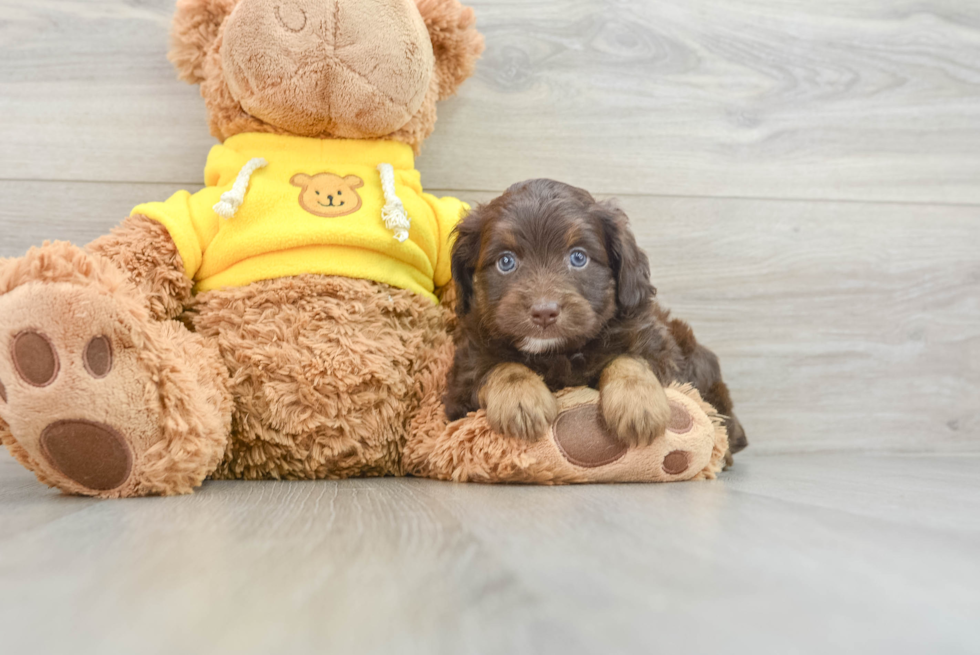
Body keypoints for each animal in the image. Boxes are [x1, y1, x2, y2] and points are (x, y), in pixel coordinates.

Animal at [446, 177, 752, 458]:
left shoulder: (658, 350)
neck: (556, 352)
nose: (544, 312)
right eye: (505, 261)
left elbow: (628, 359)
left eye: (578, 257)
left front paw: (638, 404)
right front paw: (521, 401)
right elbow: (500, 367)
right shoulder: (462, 379)